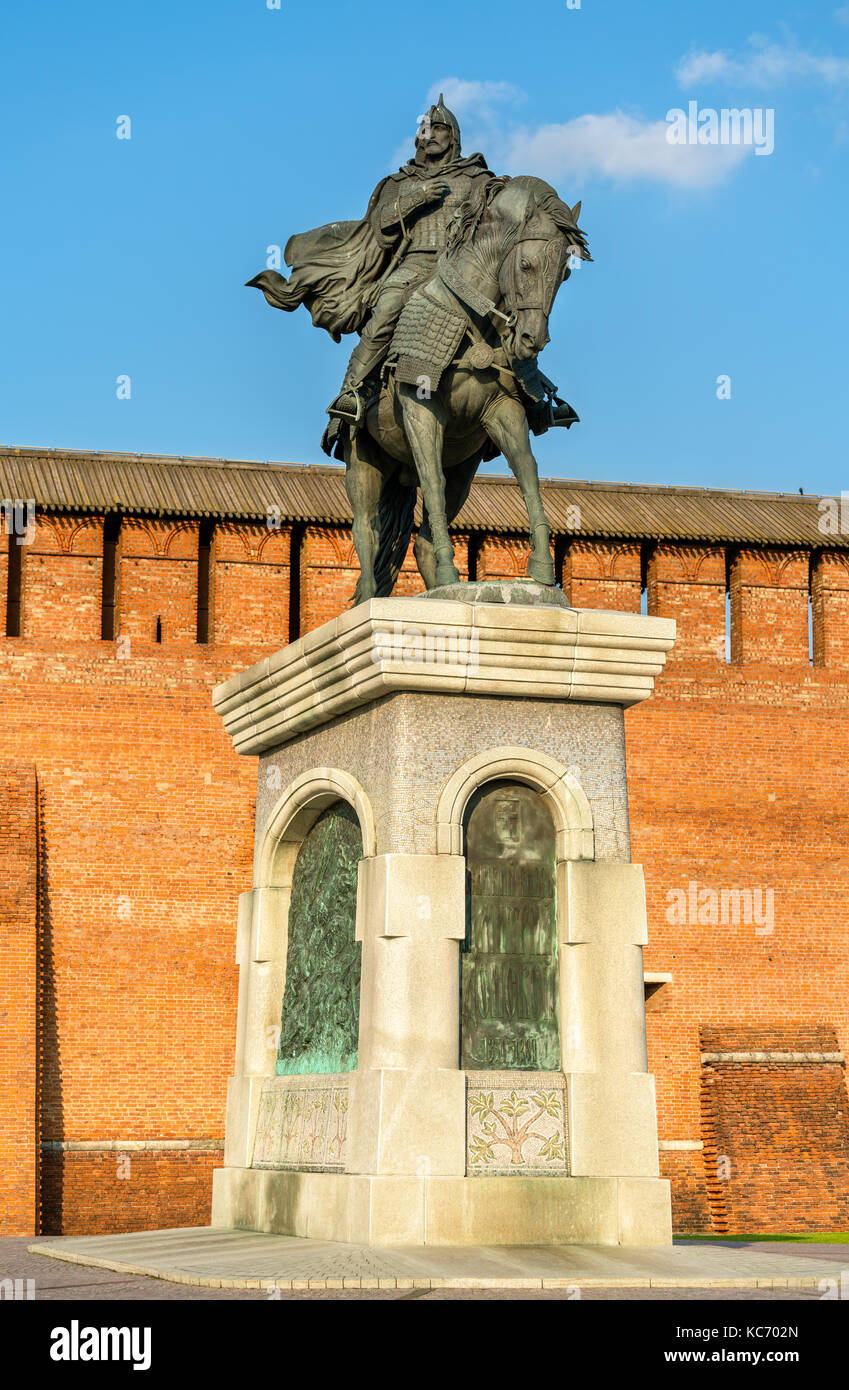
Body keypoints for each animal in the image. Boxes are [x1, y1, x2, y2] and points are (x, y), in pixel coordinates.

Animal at [325, 175, 591, 603]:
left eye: (564, 274)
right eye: (526, 264)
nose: (532, 341)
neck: (472, 320)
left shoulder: (503, 410)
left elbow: (528, 472)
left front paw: (542, 569)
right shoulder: (420, 411)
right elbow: (432, 482)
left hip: (463, 469)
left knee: (421, 540)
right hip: (361, 458)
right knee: (366, 529)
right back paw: (369, 597)